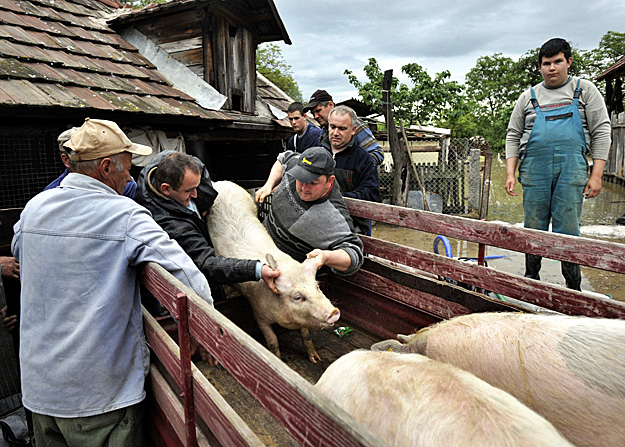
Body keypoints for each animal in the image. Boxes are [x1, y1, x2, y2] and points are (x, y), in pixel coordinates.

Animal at [206, 180, 338, 362]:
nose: (334, 311)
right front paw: (278, 359)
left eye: (317, 286)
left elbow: (305, 334)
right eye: (298, 297)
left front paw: (315, 359)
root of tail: (220, 182)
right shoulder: (259, 315)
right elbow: (272, 341)